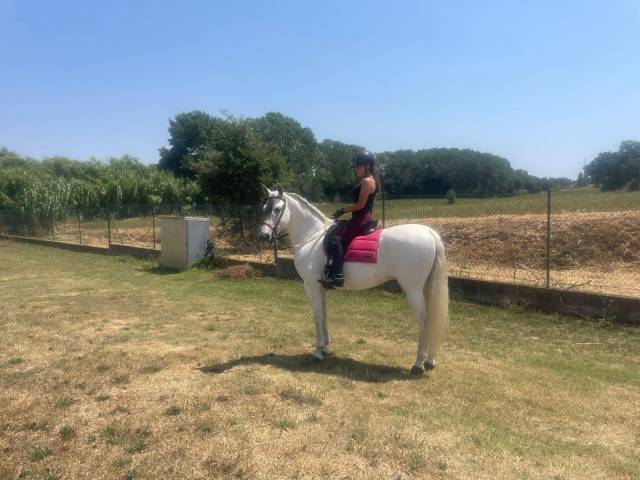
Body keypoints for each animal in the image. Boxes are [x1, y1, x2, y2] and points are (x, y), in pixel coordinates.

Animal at [259, 185, 449, 375]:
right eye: (264, 208)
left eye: (277, 209)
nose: (263, 237)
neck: (312, 237)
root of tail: (429, 233)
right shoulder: (321, 286)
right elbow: (324, 314)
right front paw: (326, 347)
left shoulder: (311, 285)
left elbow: (317, 315)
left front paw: (318, 351)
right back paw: (430, 360)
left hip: (413, 290)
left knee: (425, 320)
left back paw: (419, 363)